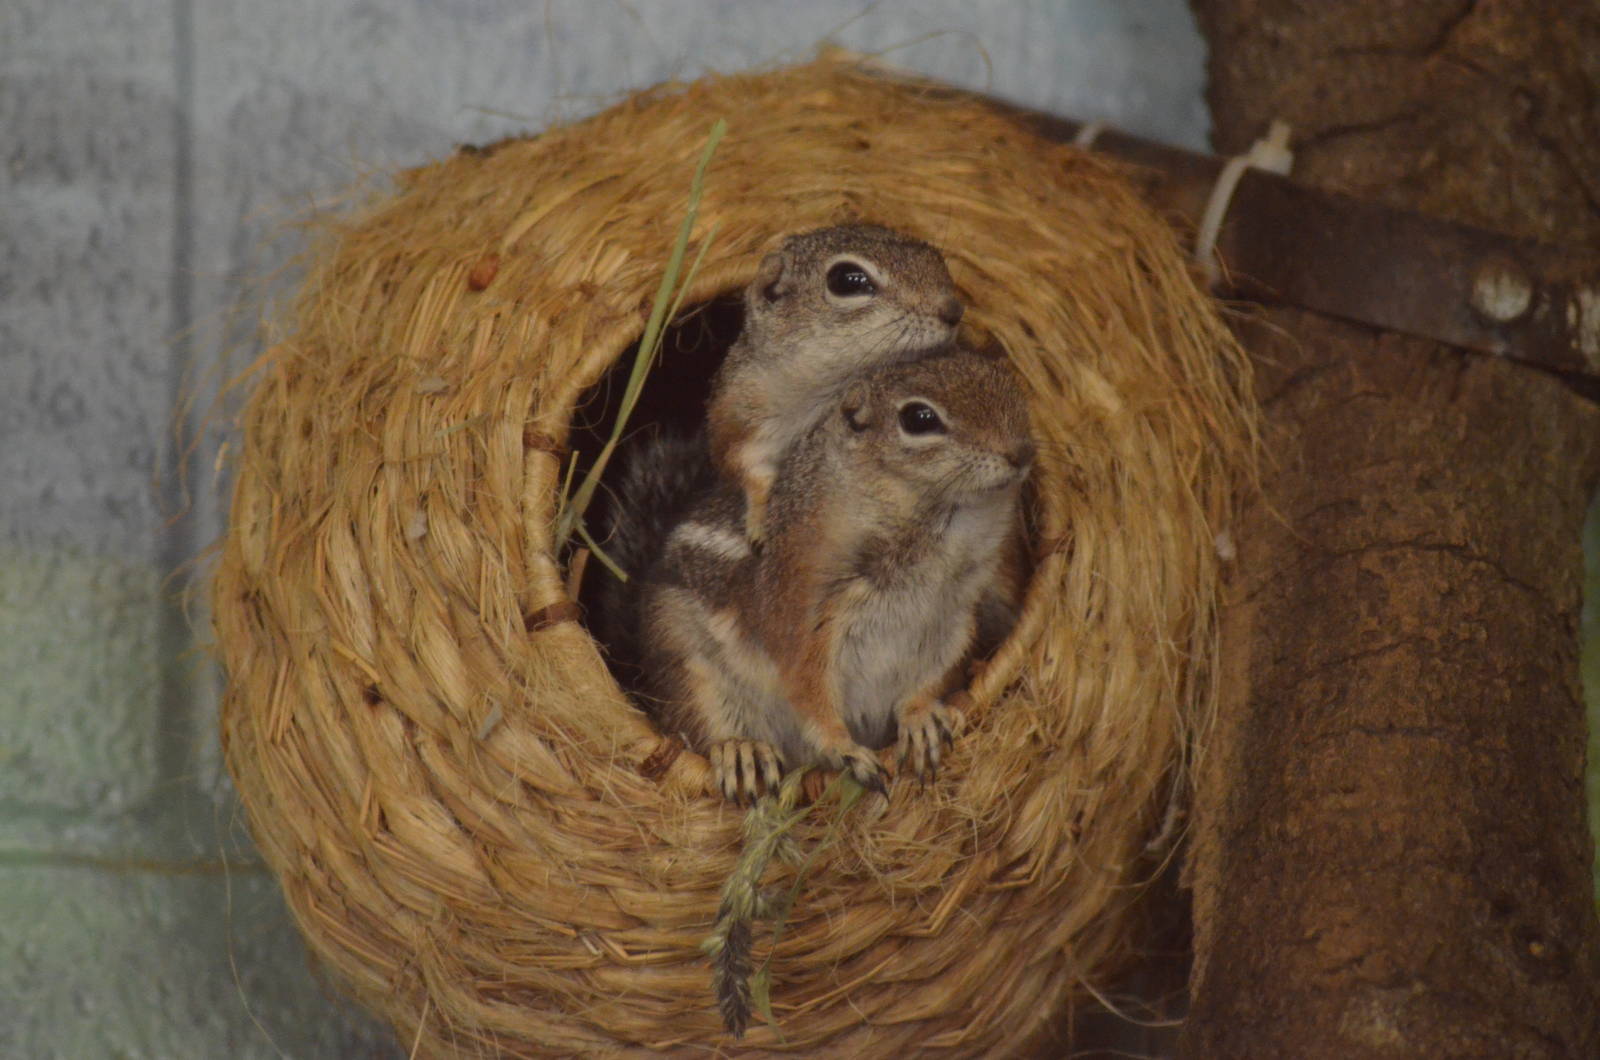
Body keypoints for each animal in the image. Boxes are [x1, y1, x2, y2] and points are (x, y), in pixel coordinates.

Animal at [627, 347, 1034, 802]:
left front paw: (920, 717)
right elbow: (810, 691)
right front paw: (843, 747)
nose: (1022, 452)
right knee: (699, 720)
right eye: (919, 418)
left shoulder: (958, 610)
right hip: (684, 656)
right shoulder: (806, 610)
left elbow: (936, 674)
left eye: (1007, 379)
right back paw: (740, 749)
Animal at [706, 223, 964, 547]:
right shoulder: (740, 414)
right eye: (848, 280)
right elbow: (746, 466)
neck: (832, 384)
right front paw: (760, 524)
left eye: (935, 255)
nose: (954, 311)